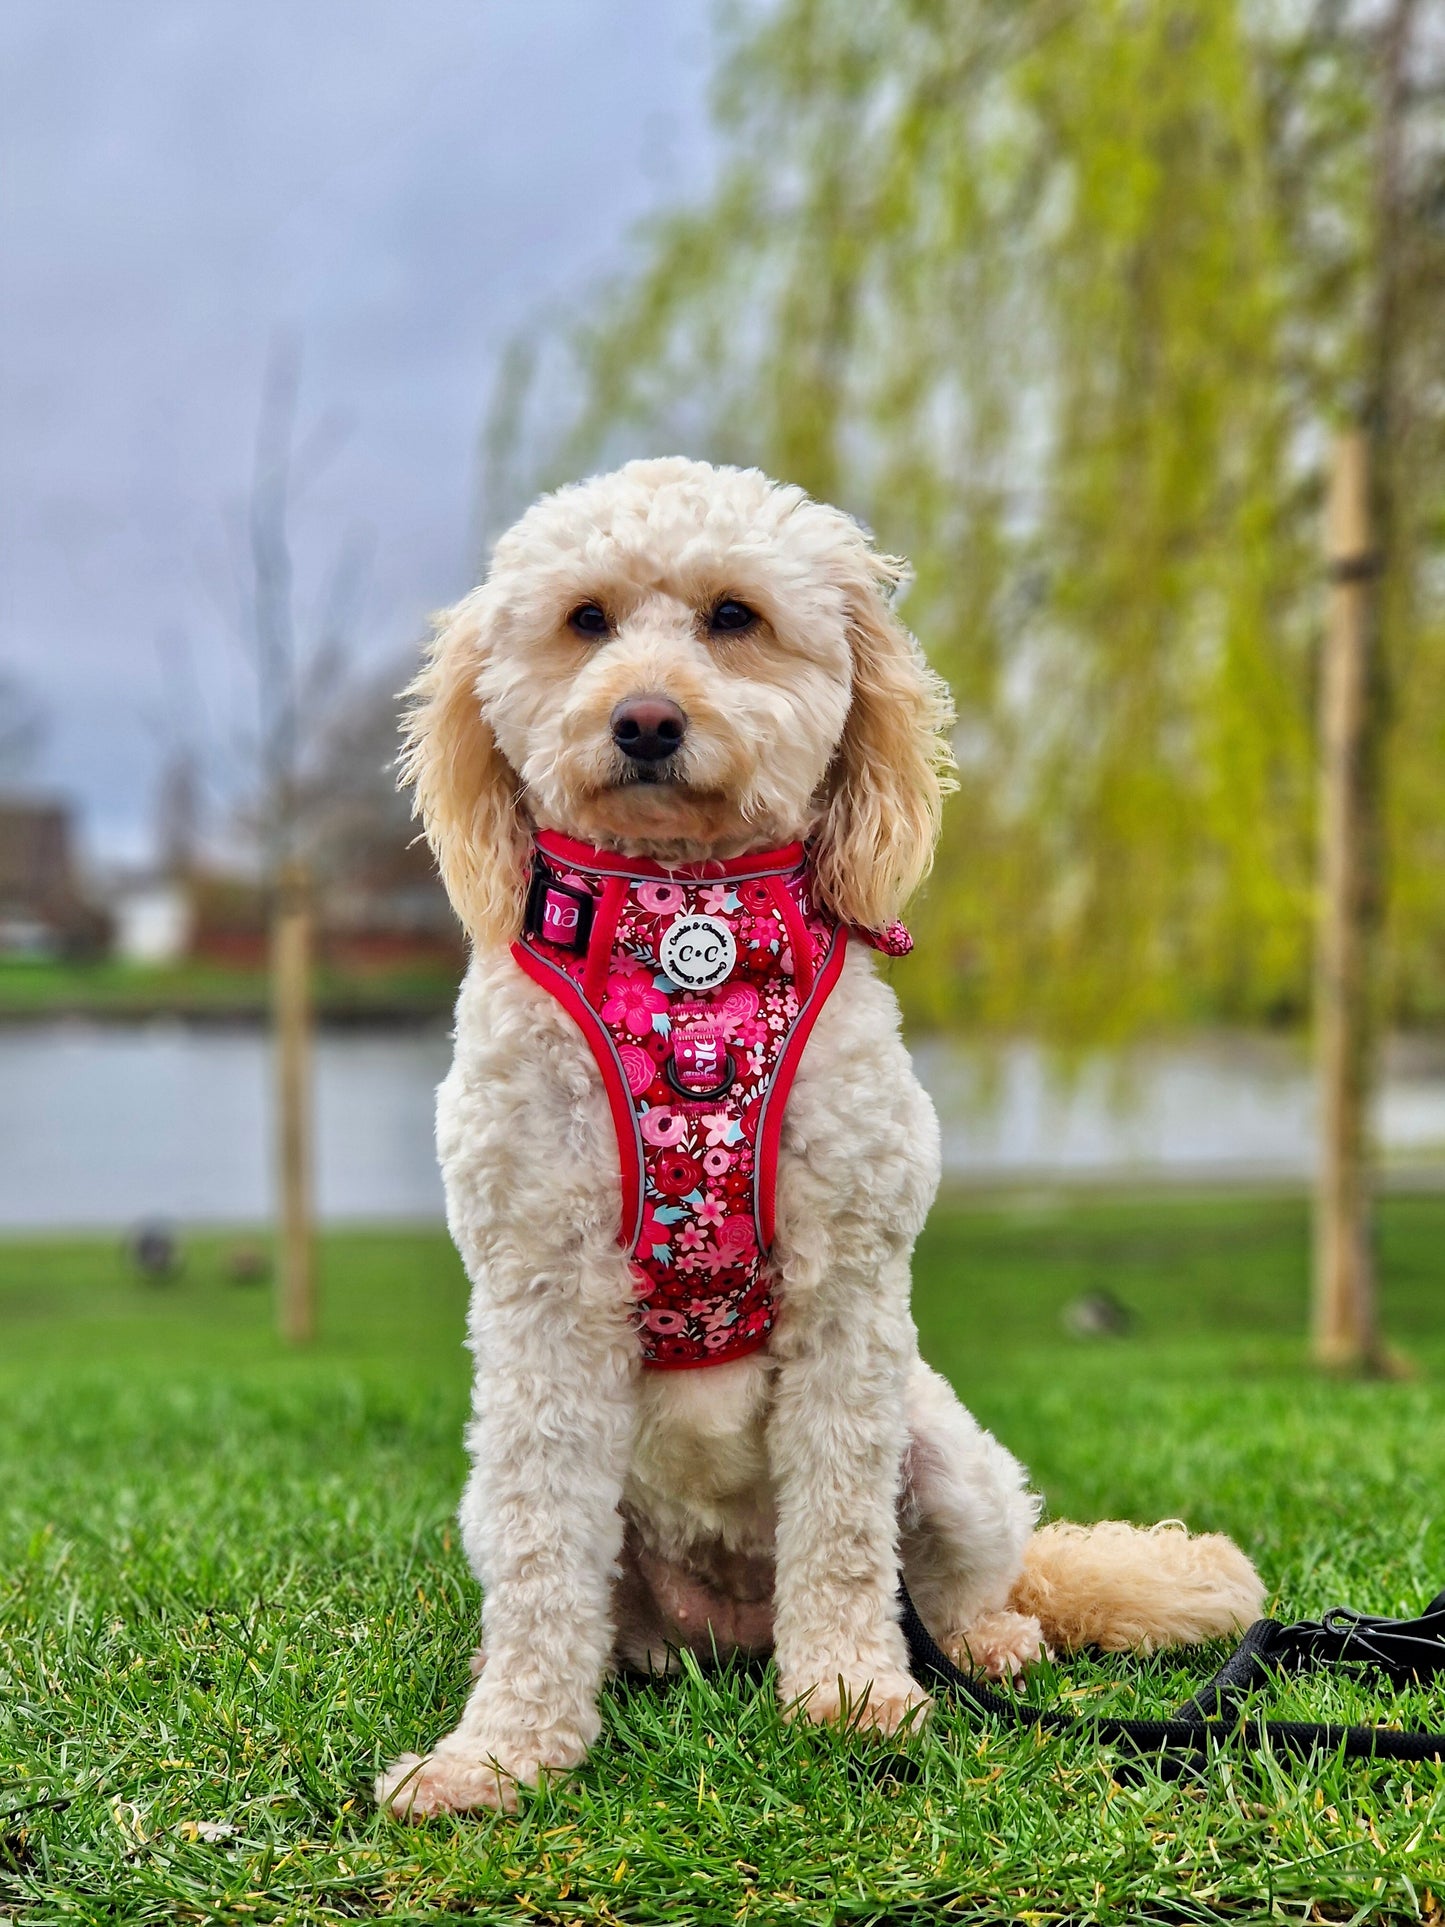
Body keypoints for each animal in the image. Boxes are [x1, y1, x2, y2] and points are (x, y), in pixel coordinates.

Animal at [375, 458, 1263, 1811]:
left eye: (733, 616)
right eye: (585, 620)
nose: (643, 720)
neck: (686, 931)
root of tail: (731, 1622)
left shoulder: (848, 1284)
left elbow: (843, 1526)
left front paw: (847, 1690)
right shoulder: (540, 1300)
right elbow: (537, 1551)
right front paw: (501, 1750)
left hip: (944, 1453)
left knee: (959, 1579)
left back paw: (980, 1640)